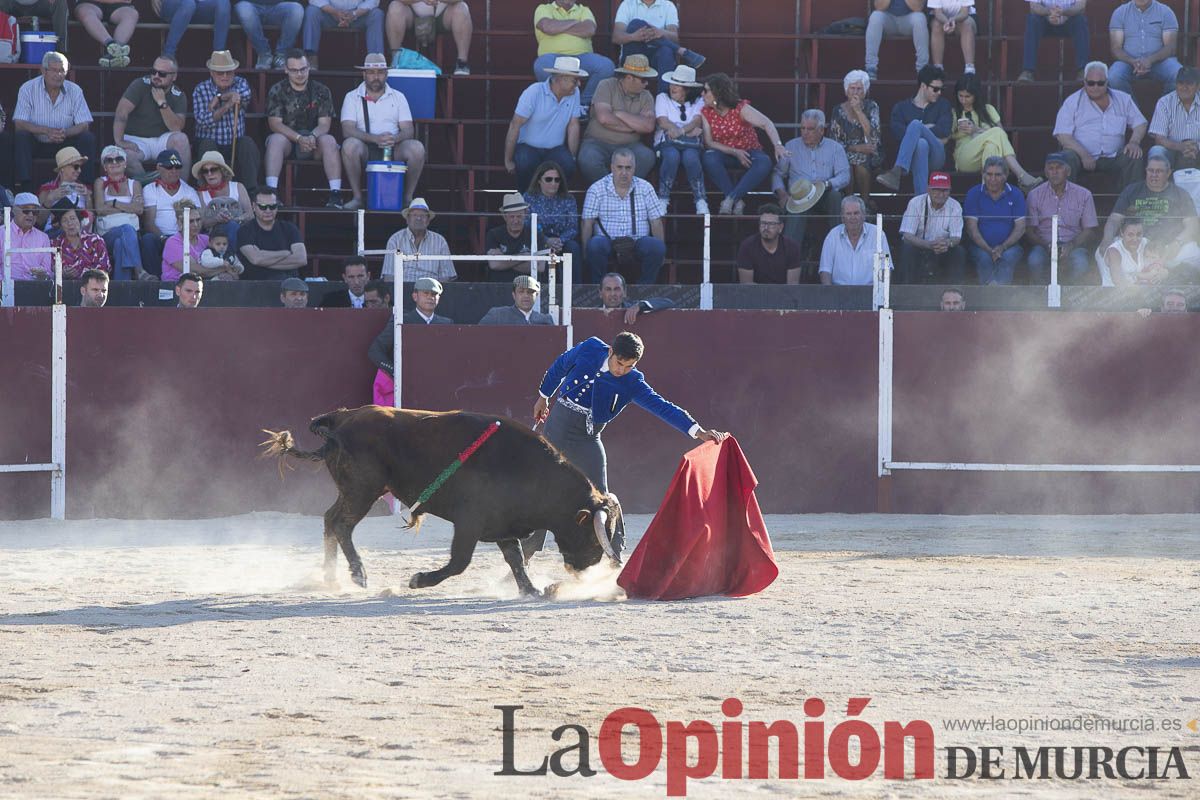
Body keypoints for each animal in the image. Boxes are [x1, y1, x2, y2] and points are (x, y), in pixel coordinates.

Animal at [259, 407, 624, 594]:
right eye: (593, 536)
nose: (585, 568)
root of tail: (343, 419)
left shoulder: (502, 525)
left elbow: (516, 559)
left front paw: (531, 590)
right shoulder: (470, 523)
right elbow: (460, 561)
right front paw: (418, 580)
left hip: (352, 491)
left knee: (328, 520)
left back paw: (332, 577)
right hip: (362, 490)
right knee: (340, 524)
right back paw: (358, 575)